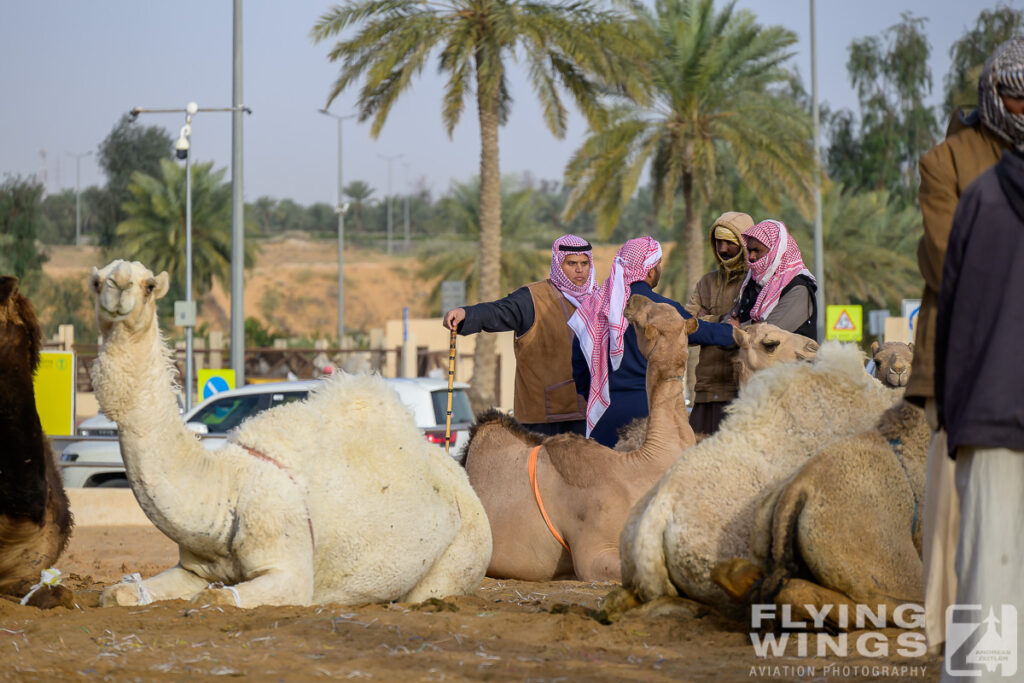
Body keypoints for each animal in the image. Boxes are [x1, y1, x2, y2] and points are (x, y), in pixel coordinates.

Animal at [90, 260, 489, 610]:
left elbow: (217, 598)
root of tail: (463, 481)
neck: (228, 489)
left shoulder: (288, 564)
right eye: (95, 282)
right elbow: (117, 593)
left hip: (462, 554)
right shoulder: (193, 568)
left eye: (149, 285)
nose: (118, 285)